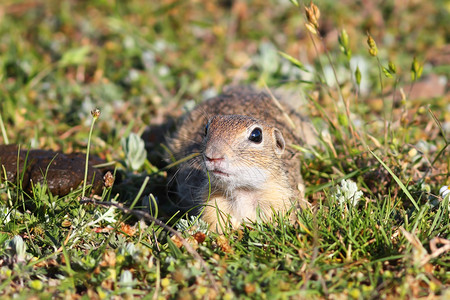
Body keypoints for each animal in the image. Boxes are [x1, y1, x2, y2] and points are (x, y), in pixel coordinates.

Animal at [167, 86, 314, 232]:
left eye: (256, 135)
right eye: (206, 129)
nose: (212, 156)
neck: (243, 192)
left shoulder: (278, 198)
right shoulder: (212, 206)